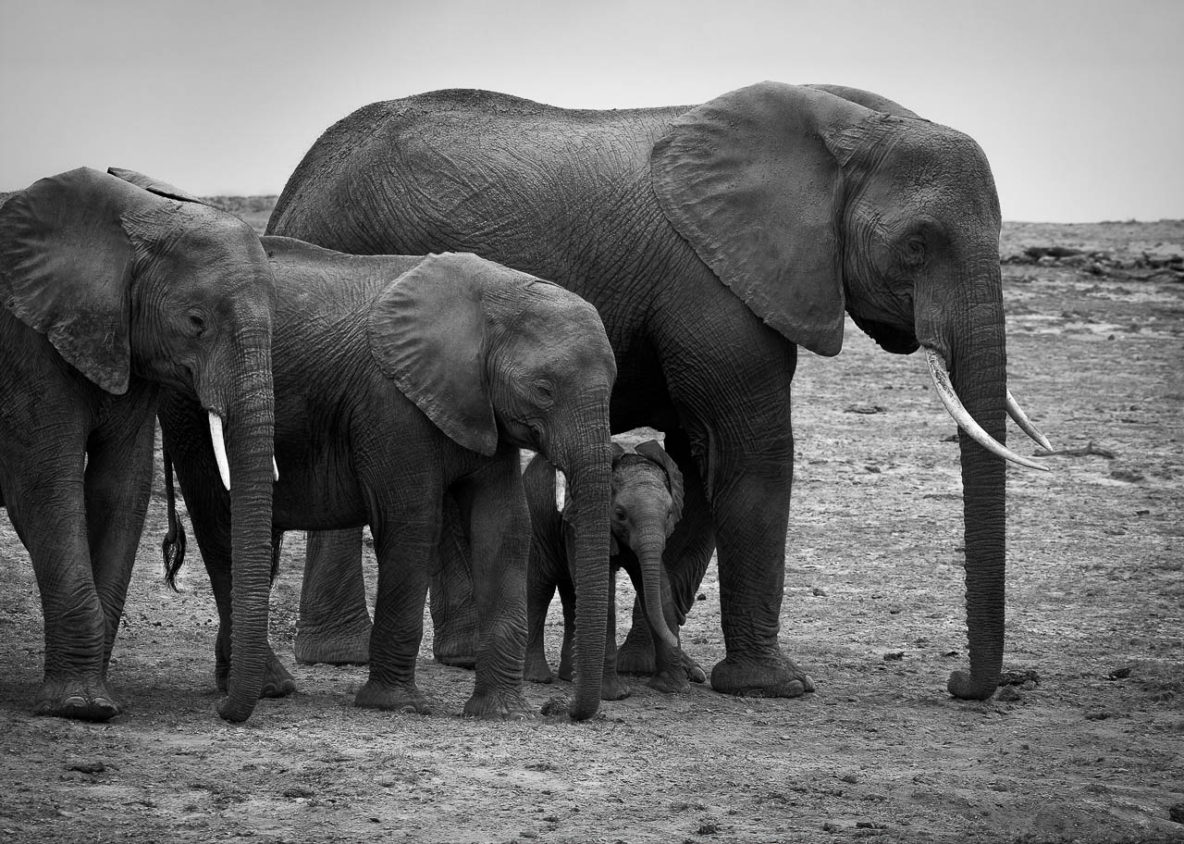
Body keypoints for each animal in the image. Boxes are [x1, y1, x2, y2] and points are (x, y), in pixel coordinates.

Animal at [159, 235, 620, 719]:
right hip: (188, 409)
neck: (493, 295)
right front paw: (398, 705)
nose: (557, 707)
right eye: (544, 390)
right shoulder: (390, 403)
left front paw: (501, 712)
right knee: (220, 526)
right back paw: (270, 688)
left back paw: (246, 685)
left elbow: (504, 527)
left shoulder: (480, 406)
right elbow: (411, 523)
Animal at [520, 437, 700, 696]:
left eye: (668, 514)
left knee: (571, 595)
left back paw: (571, 677)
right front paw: (615, 695)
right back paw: (538, 678)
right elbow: (604, 589)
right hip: (535, 522)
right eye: (619, 514)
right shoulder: (578, 525)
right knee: (539, 589)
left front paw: (674, 688)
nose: (677, 636)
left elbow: (659, 587)